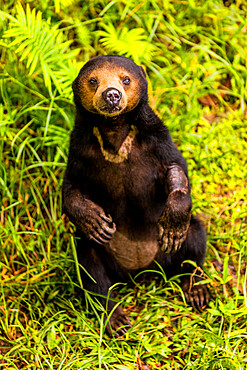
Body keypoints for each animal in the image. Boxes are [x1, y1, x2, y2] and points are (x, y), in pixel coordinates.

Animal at [62, 55, 210, 336]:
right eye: (93, 80)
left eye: (126, 79)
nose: (111, 94)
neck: (114, 133)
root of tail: (142, 270)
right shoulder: (79, 151)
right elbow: (71, 189)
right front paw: (95, 222)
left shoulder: (158, 141)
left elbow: (176, 170)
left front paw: (172, 223)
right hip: (100, 251)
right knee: (90, 264)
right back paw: (116, 319)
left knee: (195, 240)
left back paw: (196, 291)